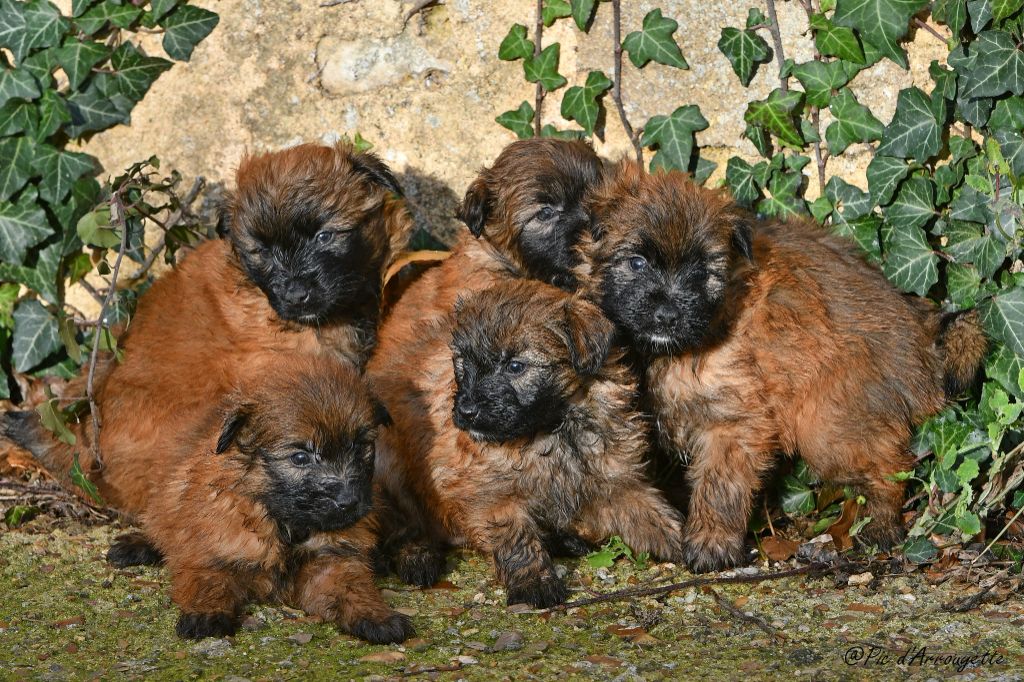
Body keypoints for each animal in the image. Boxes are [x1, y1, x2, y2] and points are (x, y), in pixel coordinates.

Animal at [102, 356, 407, 643]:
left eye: (360, 447)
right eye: (300, 457)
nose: (349, 502)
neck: (283, 524)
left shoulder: (332, 561)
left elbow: (352, 588)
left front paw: (376, 616)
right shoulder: (210, 550)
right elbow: (208, 580)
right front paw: (205, 613)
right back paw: (136, 545)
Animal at [364, 278, 684, 606]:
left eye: (515, 366)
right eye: (463, 363)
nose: (466, 411)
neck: (554, 429)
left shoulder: (614, 477)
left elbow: (648, 510)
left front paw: (684, 542)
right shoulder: (490, 493)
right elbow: (515, 535)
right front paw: (535, 582)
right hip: (387, 467)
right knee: (401, 525)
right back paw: (418, 556)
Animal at [585, 161, 991, 569]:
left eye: (701, 272)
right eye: (637, 262)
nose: (667, 316)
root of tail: (923, 340)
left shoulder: (734, 423)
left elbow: (720, 484)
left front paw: (711, 541)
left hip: (828, 426)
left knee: (890, 465)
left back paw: (880, 526)